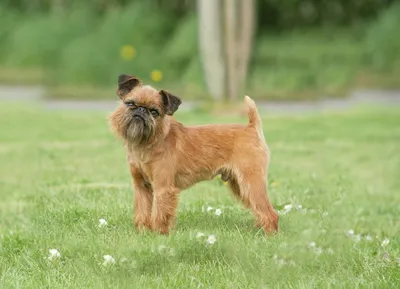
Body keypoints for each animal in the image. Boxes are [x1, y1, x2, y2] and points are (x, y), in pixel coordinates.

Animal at [108, 74, 280, 234]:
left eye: (154, 112)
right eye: (130, 103)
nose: (141, 110)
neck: (149, 142)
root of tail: (251, 127)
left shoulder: (163, 188)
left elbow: (160, 213)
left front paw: (158, 234)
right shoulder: (142, 187)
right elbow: (143, 211)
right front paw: (143, 232)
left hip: (251, 181)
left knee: (270, 212)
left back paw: (269, 235)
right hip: (239, 184)